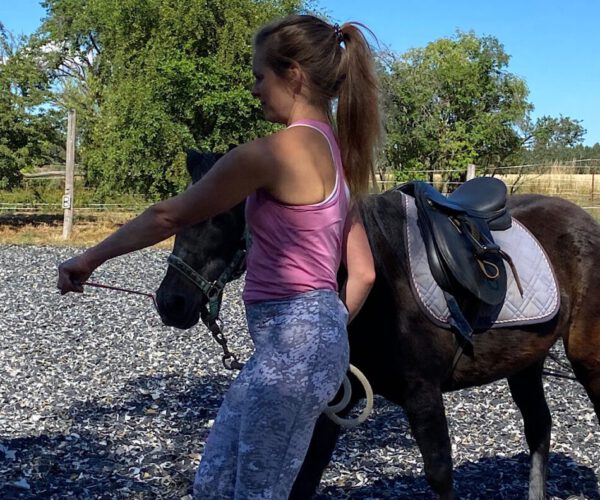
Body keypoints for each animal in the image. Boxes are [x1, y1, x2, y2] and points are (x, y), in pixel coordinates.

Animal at [155, 150, 600, 499]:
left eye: (220, 215)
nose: (171, 302)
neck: (377, 284)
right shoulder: (336, 396)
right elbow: (307, 473)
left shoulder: (423, 394)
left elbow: (440, 474)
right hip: (526, 363)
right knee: (539, 427)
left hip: (587, 362)